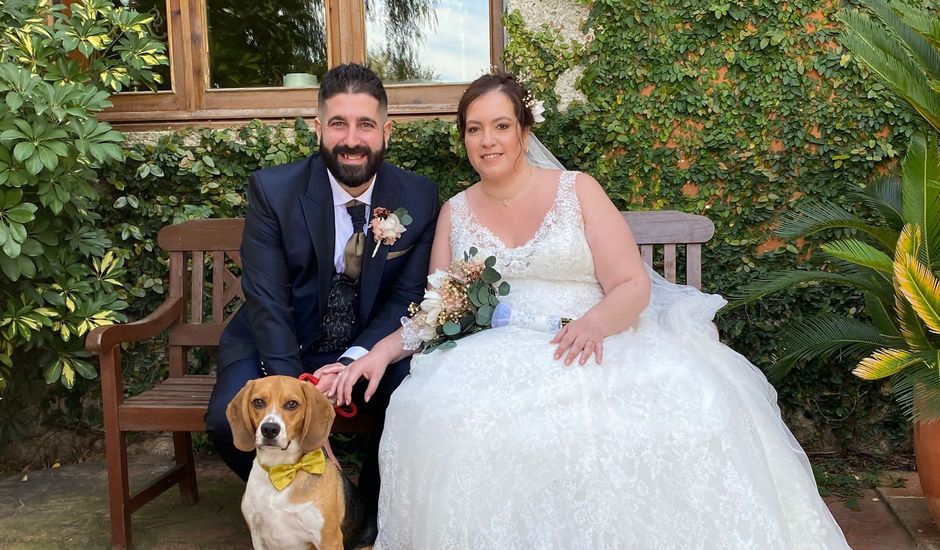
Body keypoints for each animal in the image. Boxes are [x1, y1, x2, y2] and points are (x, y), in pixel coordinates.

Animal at [227, 378, 374, 548]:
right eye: (258, 402)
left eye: (292, 404)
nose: (269, 429)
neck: (281, 470)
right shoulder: (257, 536)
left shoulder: (329, 539)